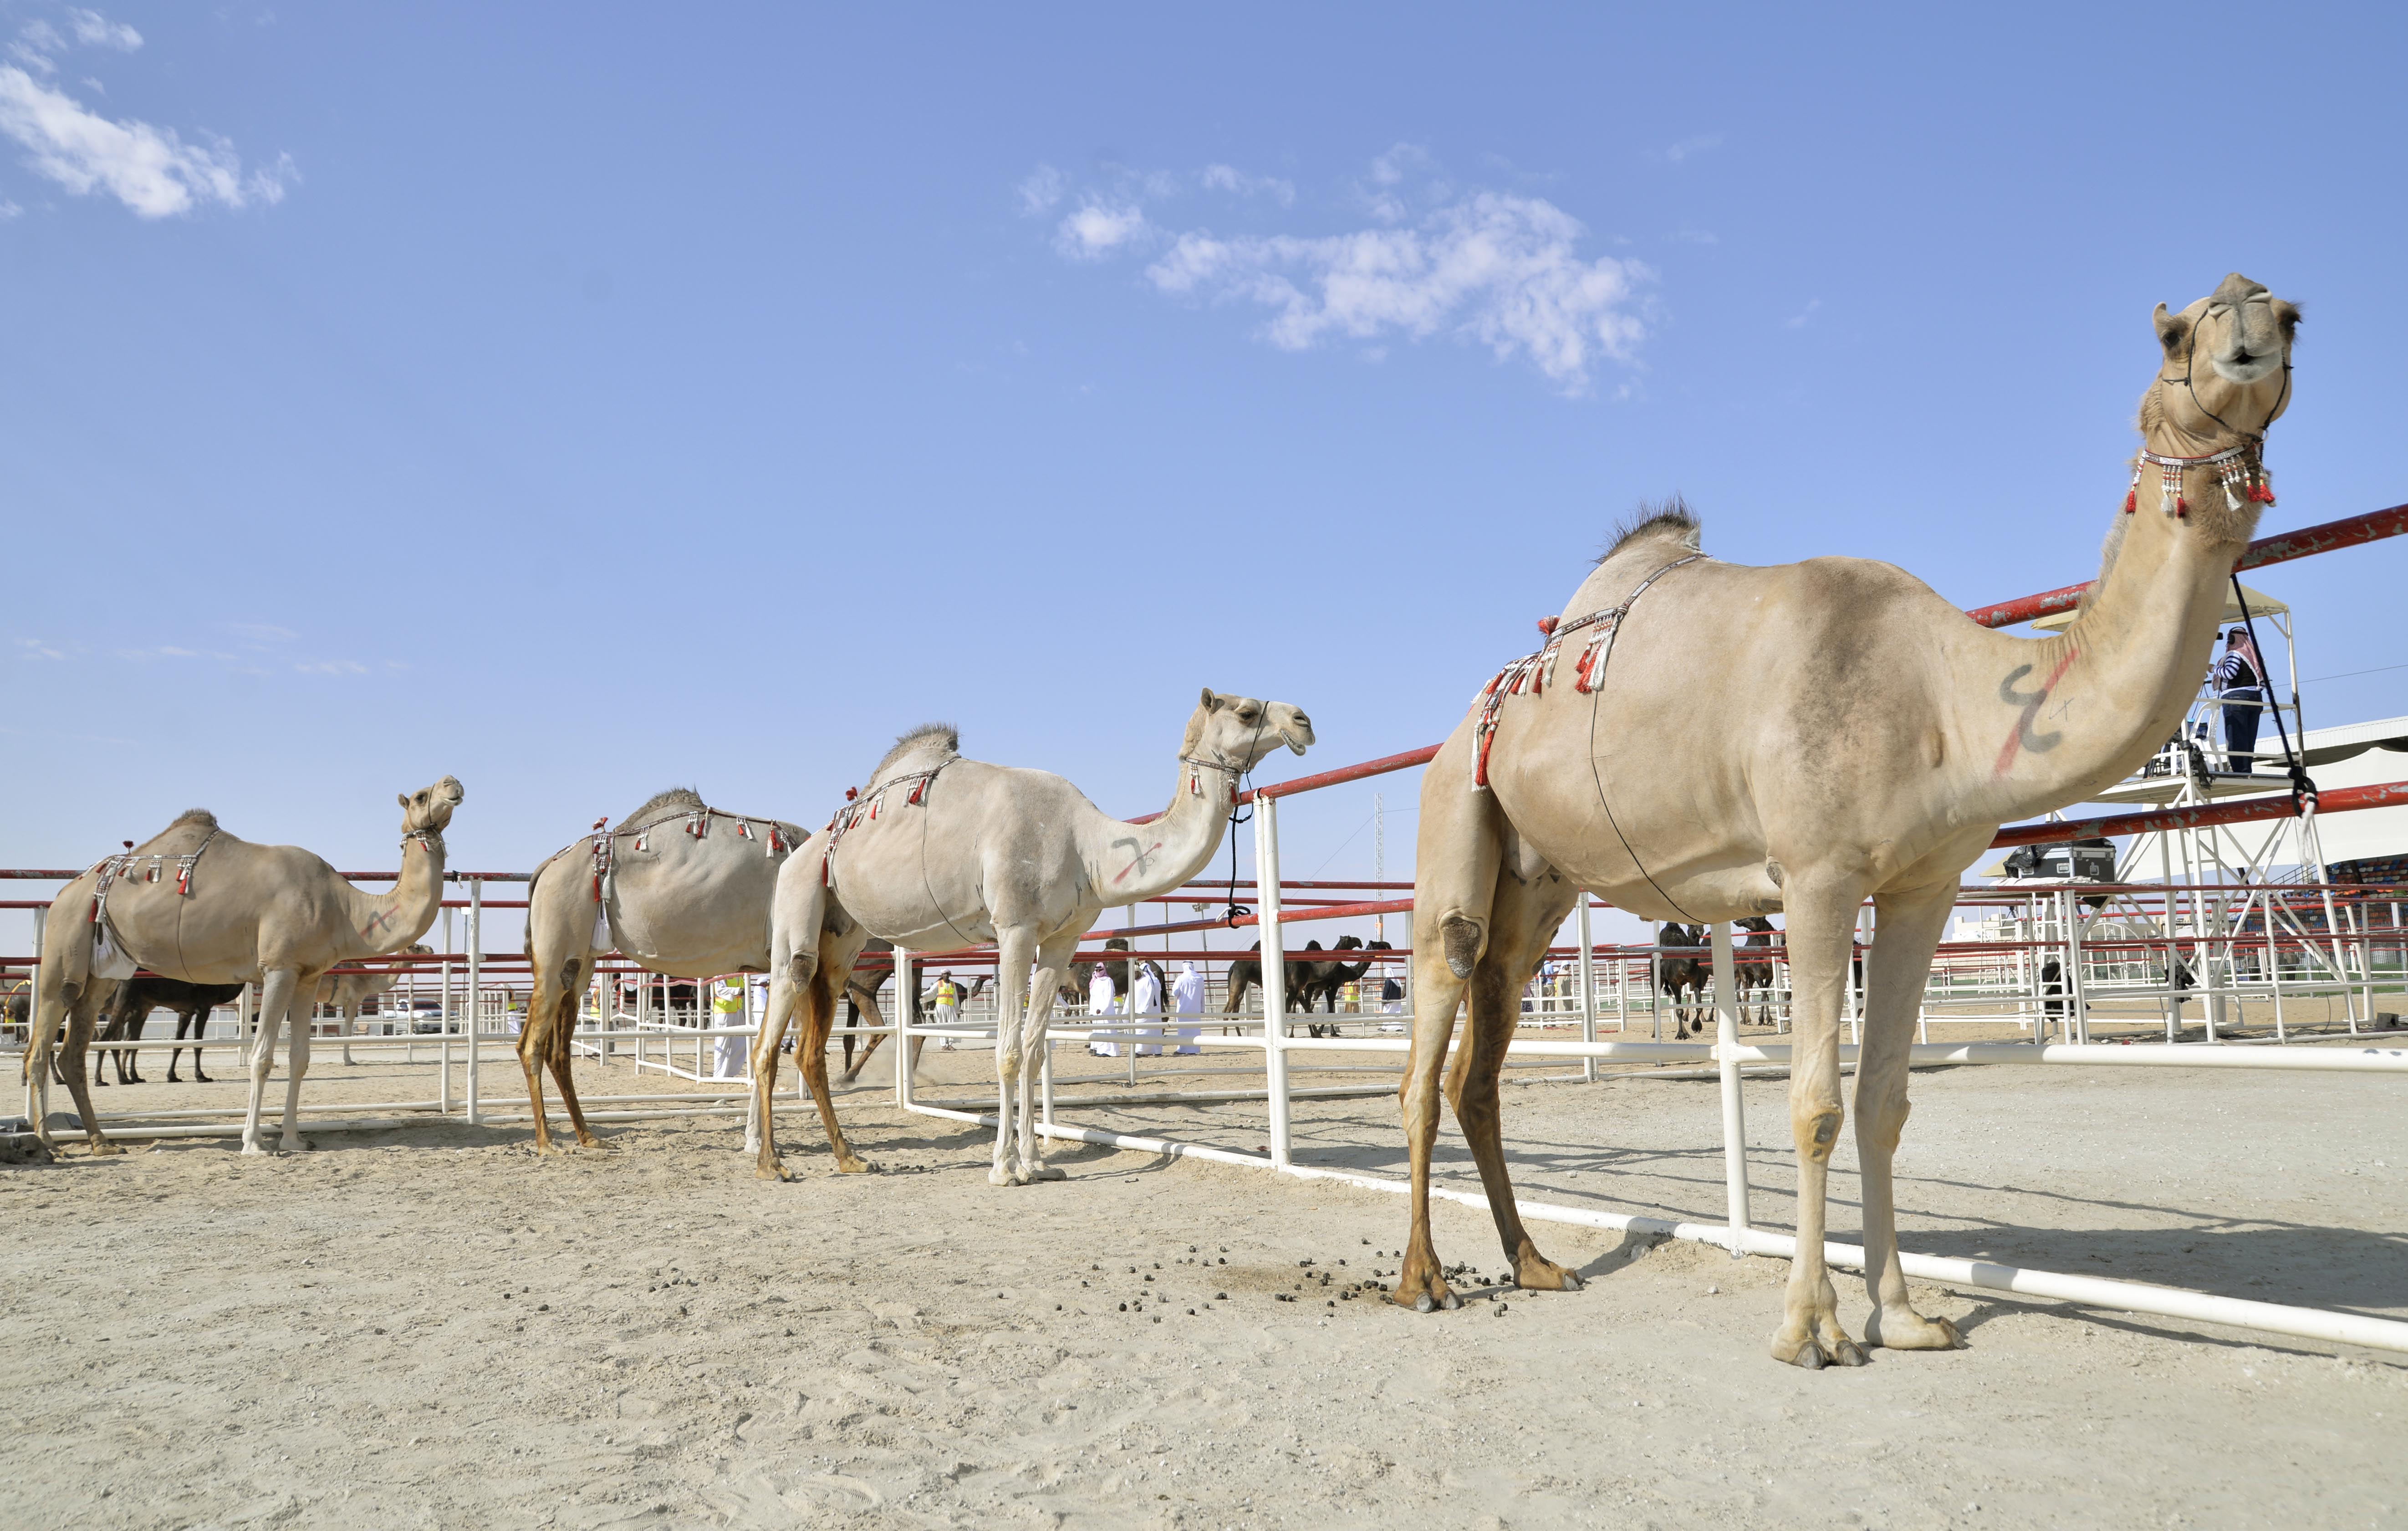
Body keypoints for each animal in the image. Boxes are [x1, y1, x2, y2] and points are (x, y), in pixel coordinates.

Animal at [27, 784, 464, 1155]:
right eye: (421, 794)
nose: (454, 784)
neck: (344, 909)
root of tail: (67, 889)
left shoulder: (308, 975)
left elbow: (300, 1059)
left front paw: (293, 1139)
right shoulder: (278, 967)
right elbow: (262, 1057)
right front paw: (254, 1143)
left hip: (102, 974)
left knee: (72, 1051)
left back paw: (101, 1142)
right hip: (64, 948)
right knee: (39, 1045)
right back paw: (47, 1142)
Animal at [520, 794, 809, 1155]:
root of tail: (547, 867)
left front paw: (756, 1141)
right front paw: (761, 1144)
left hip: (578, 960)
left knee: (558, 1050)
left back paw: (588, 1136)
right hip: (555, 944)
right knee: (531, 1045)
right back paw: (546, 1142)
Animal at [756, 693, 1310, 1184]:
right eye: (1246, 711)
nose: (1303, 721)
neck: (1089, 847)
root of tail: (809, 846)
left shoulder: (1062, 937)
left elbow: (1035, 1048)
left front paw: (1039, 1163)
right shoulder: (1015, 928)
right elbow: (1007, 1051)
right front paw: (1004, 1168)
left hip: (844, 935)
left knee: (811, 1040)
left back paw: (849, 1158)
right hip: (798, 897)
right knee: (778, 1015)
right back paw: (772, 1163)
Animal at [1406, 272, 2302, 1367]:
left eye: (2292, 318)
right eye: (2174, 334)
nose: (2248, 316)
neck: (1948, 698)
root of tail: (1471, 719)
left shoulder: (1925, 884)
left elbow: (1883, 1102)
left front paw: (1907, 1315)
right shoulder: (1817, 874)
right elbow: (1816, 1106)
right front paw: (1812, 1328)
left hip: (1539, 880)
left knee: (1483, 1046)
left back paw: (1534, 1261)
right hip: (1457, 805)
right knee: (1436, 1013)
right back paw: (1423, 1278)